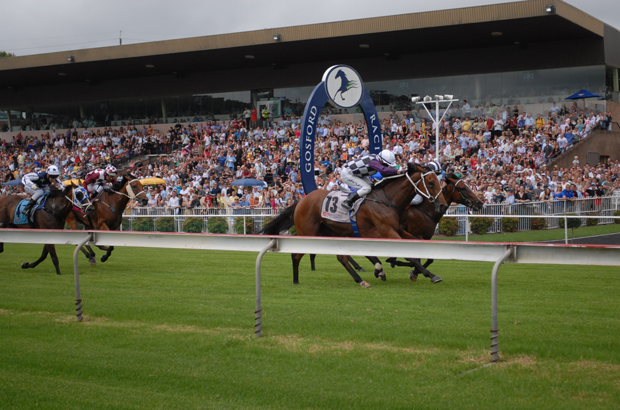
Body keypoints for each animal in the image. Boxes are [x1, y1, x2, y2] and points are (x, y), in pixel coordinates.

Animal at [262, 165, 446, 286]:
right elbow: (410, 255)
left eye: (440, 182)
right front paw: (430, 275)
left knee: (341, 257)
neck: (388, 200)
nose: (443, 205)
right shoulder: (386, 230)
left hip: (332, 232)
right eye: (431, 183)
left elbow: (415, 250)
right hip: (307, 232)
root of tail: (301, 200)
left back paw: (360, 279)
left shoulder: (399, 230)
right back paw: (295, 280)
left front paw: (420, 272)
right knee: (296, 255)